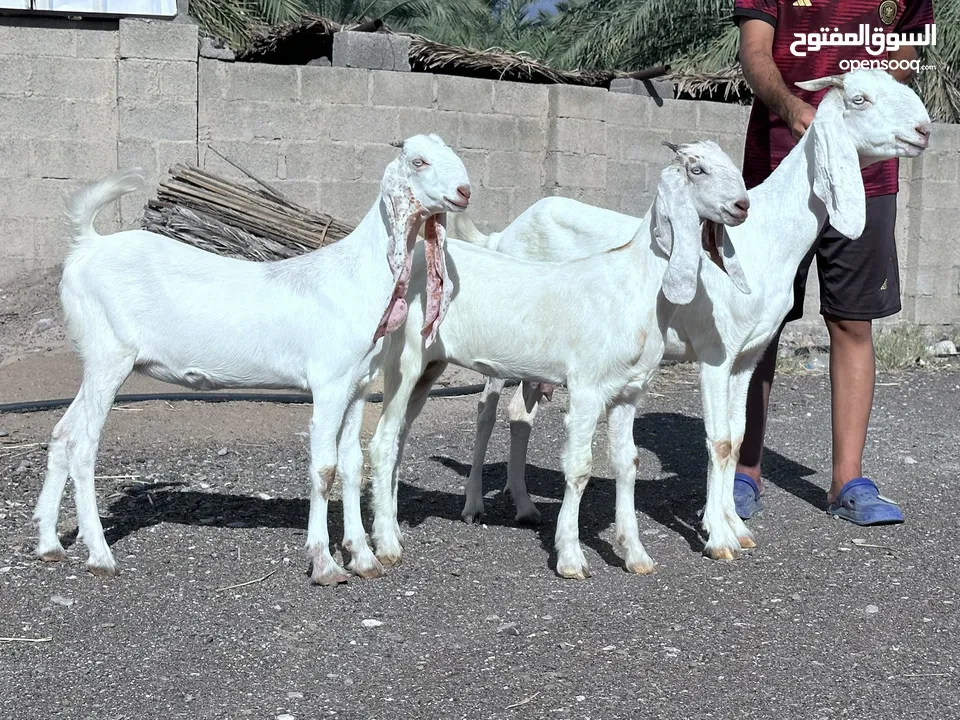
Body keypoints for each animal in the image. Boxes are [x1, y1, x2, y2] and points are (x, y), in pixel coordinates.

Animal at [35, 135, 470, 584]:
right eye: (418, 161)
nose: (464, 192)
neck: (355, 276)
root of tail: (88, 244)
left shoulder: (357, 386)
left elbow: (352, 465)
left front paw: (363, 558)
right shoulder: (328, 384)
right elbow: (324, 469)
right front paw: (324, 563)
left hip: (95, 363)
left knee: (63, 433)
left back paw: (49, 545)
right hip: (109, 357)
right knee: (84, 445)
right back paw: (100, 554)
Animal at [368, 142, 752, 580]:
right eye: (697, 169)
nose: (742, 205)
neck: (634, 282)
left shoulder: (629, 392)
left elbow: (627, 463)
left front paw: (635, 554)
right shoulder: (586, 387)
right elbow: (580, 467)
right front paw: (570, 556)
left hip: (429, 367)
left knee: (399, 438)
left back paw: (391, 528)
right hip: (405, 360)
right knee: (383, 442)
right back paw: (387, 546)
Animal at [454, 69, 932, 564]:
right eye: (860, 99)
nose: (923, 131)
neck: (767, 239)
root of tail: (503, 234)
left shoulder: (748, 355)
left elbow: (737, 438)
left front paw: (736, 526)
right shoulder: (715, 353)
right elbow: (718, 439)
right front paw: (718, 537)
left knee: (519, 414)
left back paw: (525, 506)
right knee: (486, 411)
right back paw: (473, 504)